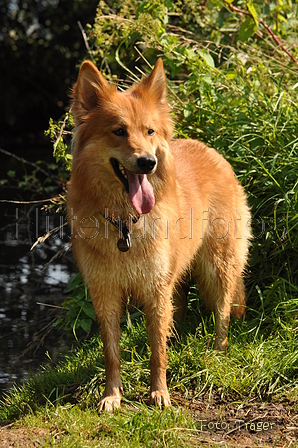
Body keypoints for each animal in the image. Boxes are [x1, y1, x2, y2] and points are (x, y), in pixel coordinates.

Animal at [67, 59, 251, 412]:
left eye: (149, 131)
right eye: (119, 131)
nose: (148, 162)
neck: (125, 224)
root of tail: (210, 150)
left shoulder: (155, 289)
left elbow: (157, 352)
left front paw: (159, 393)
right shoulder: (106, 293)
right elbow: (112, 353)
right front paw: (112, 396)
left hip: (219, 265)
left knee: (222, 313)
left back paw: (217, 354)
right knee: (176, 311)